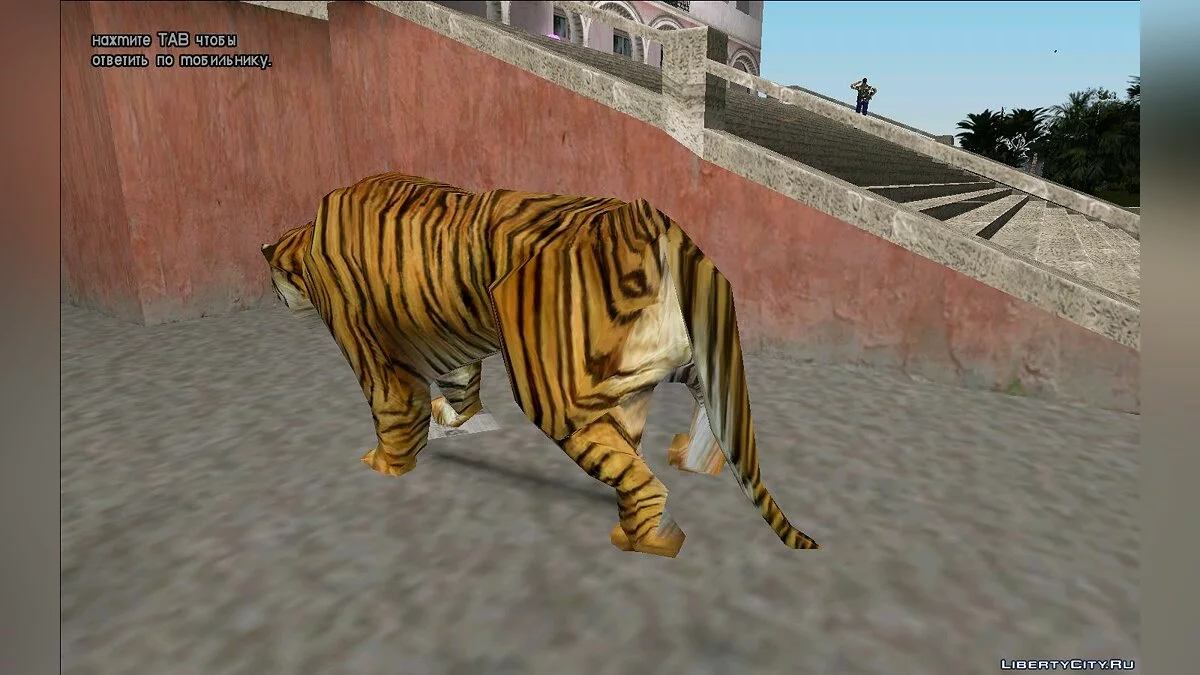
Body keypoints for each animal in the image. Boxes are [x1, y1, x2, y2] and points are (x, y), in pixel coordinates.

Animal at [261, 172, 820, 557]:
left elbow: (394, 412)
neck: (306, 239)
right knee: (705, 426)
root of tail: (648, 216)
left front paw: (384, 465)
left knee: (643, 479)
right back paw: (687, 458)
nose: (272, 284)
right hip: (675, 367)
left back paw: (647, 540)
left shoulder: (373, 353)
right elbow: (460, 387)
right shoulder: (448, 347)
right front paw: (453, 419)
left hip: (553, 394)